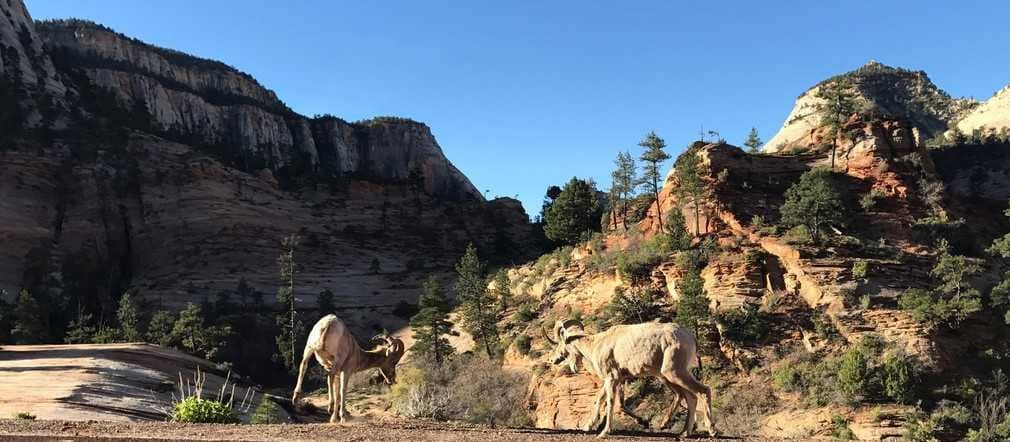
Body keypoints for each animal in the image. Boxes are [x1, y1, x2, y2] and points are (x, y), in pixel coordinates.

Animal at [541, 316, 715, 437]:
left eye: (560, 343)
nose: (553, 359)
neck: (596, 345)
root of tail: (690, 337)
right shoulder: (615, 380)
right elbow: (601, 400)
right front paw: (588, 426)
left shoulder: (611, 378)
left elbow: (610, 403)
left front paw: (604, 432)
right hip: (674, 375)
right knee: (690, 397)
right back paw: (684, 433)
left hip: (673, 373)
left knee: (702, 391)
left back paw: (711, 430)